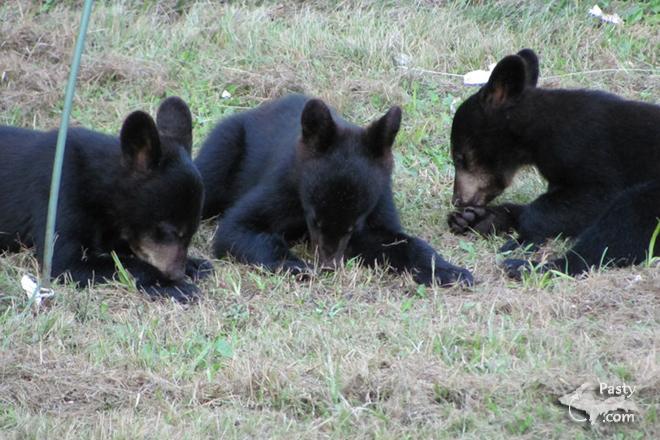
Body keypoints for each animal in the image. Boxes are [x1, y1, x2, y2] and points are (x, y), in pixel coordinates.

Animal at [0, 97, 212, 301]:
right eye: (169, 231)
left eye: (192, 233)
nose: (176, 273)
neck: (96, 183)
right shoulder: (57, 194)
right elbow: (66, 260)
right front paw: (170, 285)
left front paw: (194, 263)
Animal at [195, 94, 473, 286]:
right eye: (315, 220)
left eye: (352, 226)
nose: (329, 265)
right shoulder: (283, 187)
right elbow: (238, 227)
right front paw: (295, 264)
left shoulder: (379, 201)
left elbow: (393, 240)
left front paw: (449, 271)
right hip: (224, 146)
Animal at [447, 48, 660, 277]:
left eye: (459, 157)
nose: (458, 200)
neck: (539, 130)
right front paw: (478, 218)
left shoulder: (592, 153)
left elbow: (595, 197)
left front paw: (521, 236)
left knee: (623, 222)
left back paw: (525, 266)